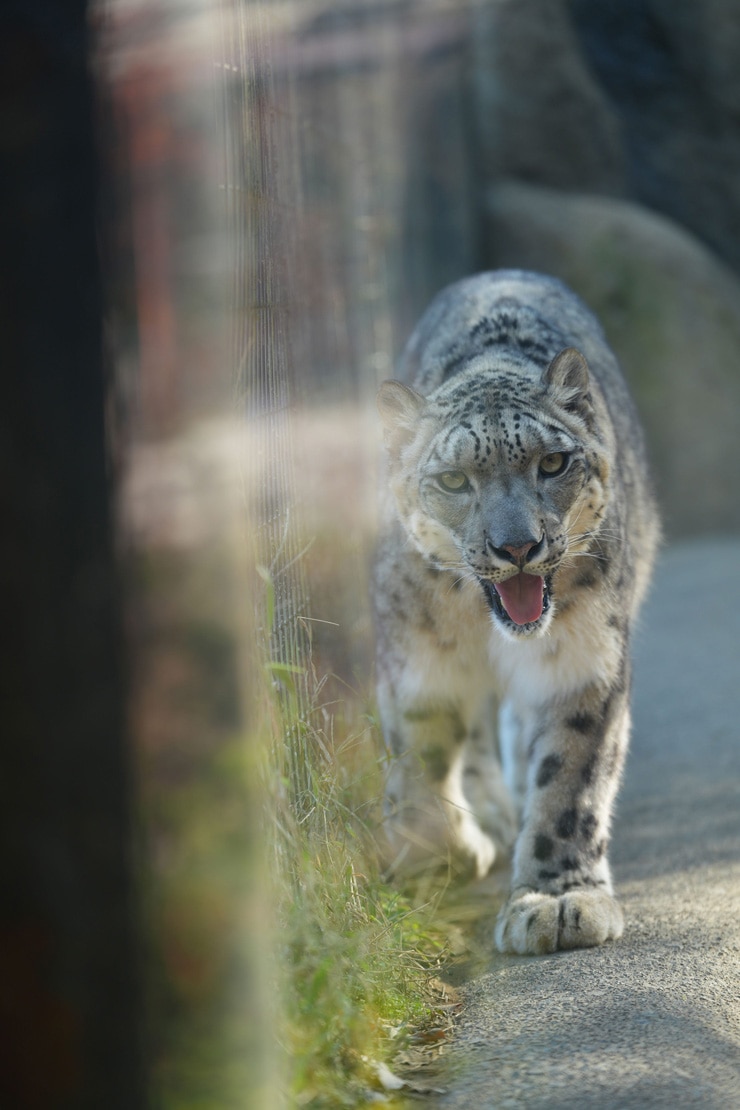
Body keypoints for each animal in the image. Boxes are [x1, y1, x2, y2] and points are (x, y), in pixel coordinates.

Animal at [377, 268, 661, 954]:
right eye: (454, 480)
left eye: (552, 463)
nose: (517, 547)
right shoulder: (416, 656)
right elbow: (421, 747)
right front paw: (436, 852)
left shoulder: (582, 657)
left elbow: (569, 776)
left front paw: (557, 901)